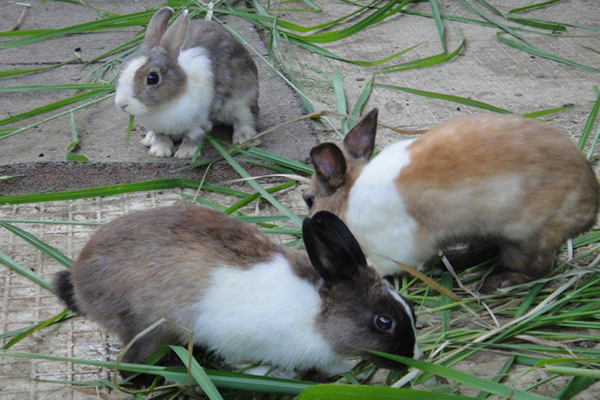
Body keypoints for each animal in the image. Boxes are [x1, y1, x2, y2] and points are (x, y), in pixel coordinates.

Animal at [54, 206, 420, 382]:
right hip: (149, 328)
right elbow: (241, 363)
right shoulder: (237, 340)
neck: (317, 315)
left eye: (412, 309)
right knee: (132, 365)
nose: (410, 357)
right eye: (383, 322)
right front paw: (276, 375)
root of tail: (80, 279)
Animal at [113, 8, 258, 159]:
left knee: (246, 119)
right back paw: (148, 139)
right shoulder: (159, 128)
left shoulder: (200, 121)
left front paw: (185, 153)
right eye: (122, 66)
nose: (122, 104)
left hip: (242, 100)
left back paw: (245, 139)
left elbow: (193, 137)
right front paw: (158, 152)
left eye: (153, 78)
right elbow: (161, 138)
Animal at [308, 109, 596, 294]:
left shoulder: (394, 249)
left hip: (525, 241)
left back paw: (492, 286)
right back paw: (447, 264)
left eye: (309, 200)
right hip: (484, 229)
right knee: (484, 251)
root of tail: (590, 205)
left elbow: (376, 266)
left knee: (537, 271)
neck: (347, 202)